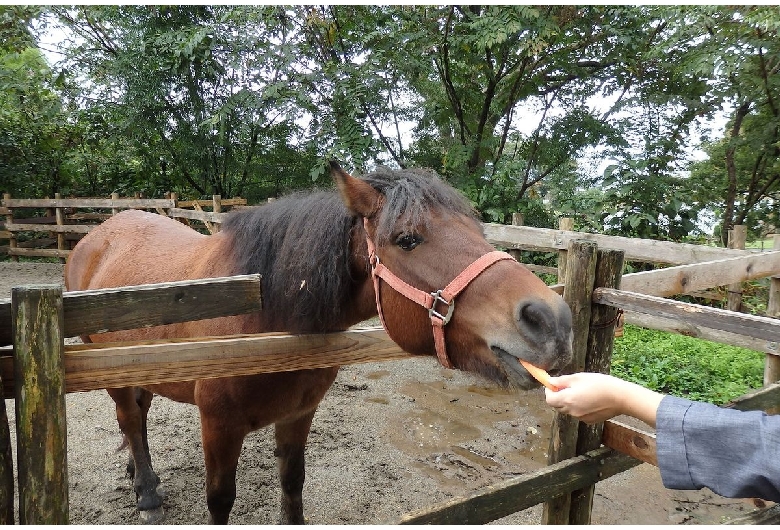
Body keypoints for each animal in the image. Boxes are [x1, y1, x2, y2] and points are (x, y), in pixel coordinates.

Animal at [64, 162, 568, 524]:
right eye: (407, 239)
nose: (552, 321)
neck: (266, 317)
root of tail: (96, 236)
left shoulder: (299, 414)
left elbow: (293, 484)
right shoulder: (219, 425)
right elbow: (221, 499)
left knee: (140, 413)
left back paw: (137, 472)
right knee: (130, 419)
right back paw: (147, 492)